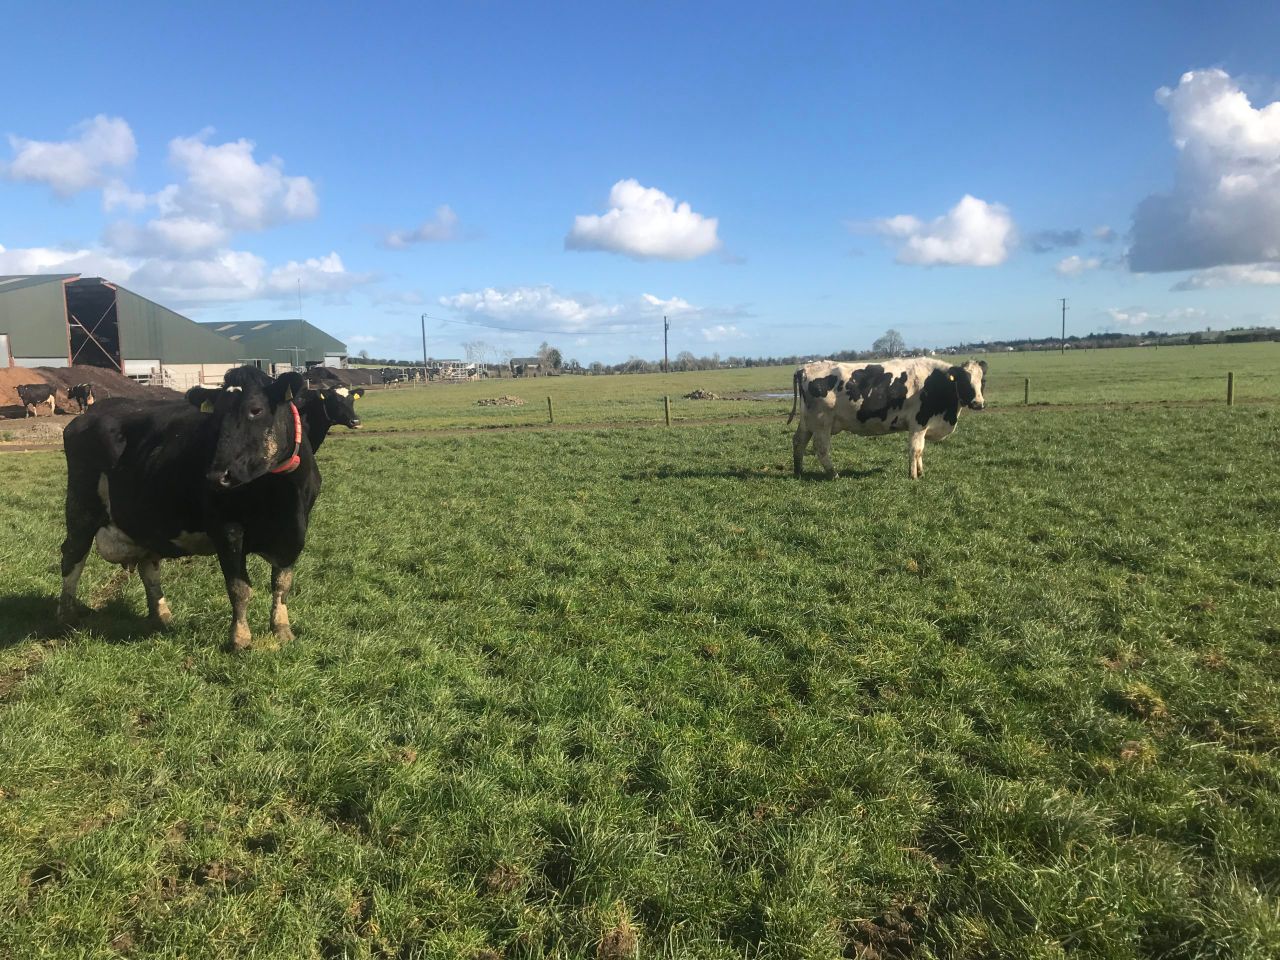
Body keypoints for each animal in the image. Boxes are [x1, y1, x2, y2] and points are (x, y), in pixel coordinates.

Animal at [59, 365, 317, 651]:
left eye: (256, 409)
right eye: (215, 416)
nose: (217, 476)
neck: (278, 496)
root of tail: (91, 413)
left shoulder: (295, 531)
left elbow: (282, 583)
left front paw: (282, 629)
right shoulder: (227, 529)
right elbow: (239, 587)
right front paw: (239, 638)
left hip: (144, 521)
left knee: (148, 564)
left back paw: (161, 615)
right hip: (81, 507)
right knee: (72, 555)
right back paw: (67, 615)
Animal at [789, 357, 987, 480]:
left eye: (982, 381)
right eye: (965, 381)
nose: (978, 403)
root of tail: (804, 368)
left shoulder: (923, 426)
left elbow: (920, 451)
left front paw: (921, 472)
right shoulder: (918, 424)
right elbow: (915, 449)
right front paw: (913, 476)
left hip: (808, 422)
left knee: (799, 442)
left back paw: (799, 471)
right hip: (822, 423)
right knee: (821, 448)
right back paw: (833, 474)